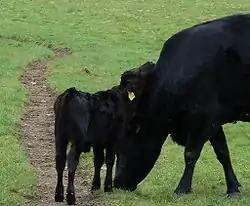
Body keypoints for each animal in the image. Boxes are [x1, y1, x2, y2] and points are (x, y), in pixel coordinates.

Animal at [53, 60, 154, 204]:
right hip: (77, 139)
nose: (150, 62)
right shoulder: (113, 140)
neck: (122, 100)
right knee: (72, 161)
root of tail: (70, 93)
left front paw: (95, 186)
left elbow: (98, 161)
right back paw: (71, 196)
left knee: (60, 160)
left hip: (60, 136)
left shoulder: (98, 142)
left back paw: (59, 194)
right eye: (138, 72)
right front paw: (108, 187)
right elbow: (110, 160)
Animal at [114, 13, 250, 196]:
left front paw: (182, 188)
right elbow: (222, 152)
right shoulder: (213, 119)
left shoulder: (202, 118)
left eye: (131, 130)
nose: (117, 182)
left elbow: (190, 154)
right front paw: (233, 188)